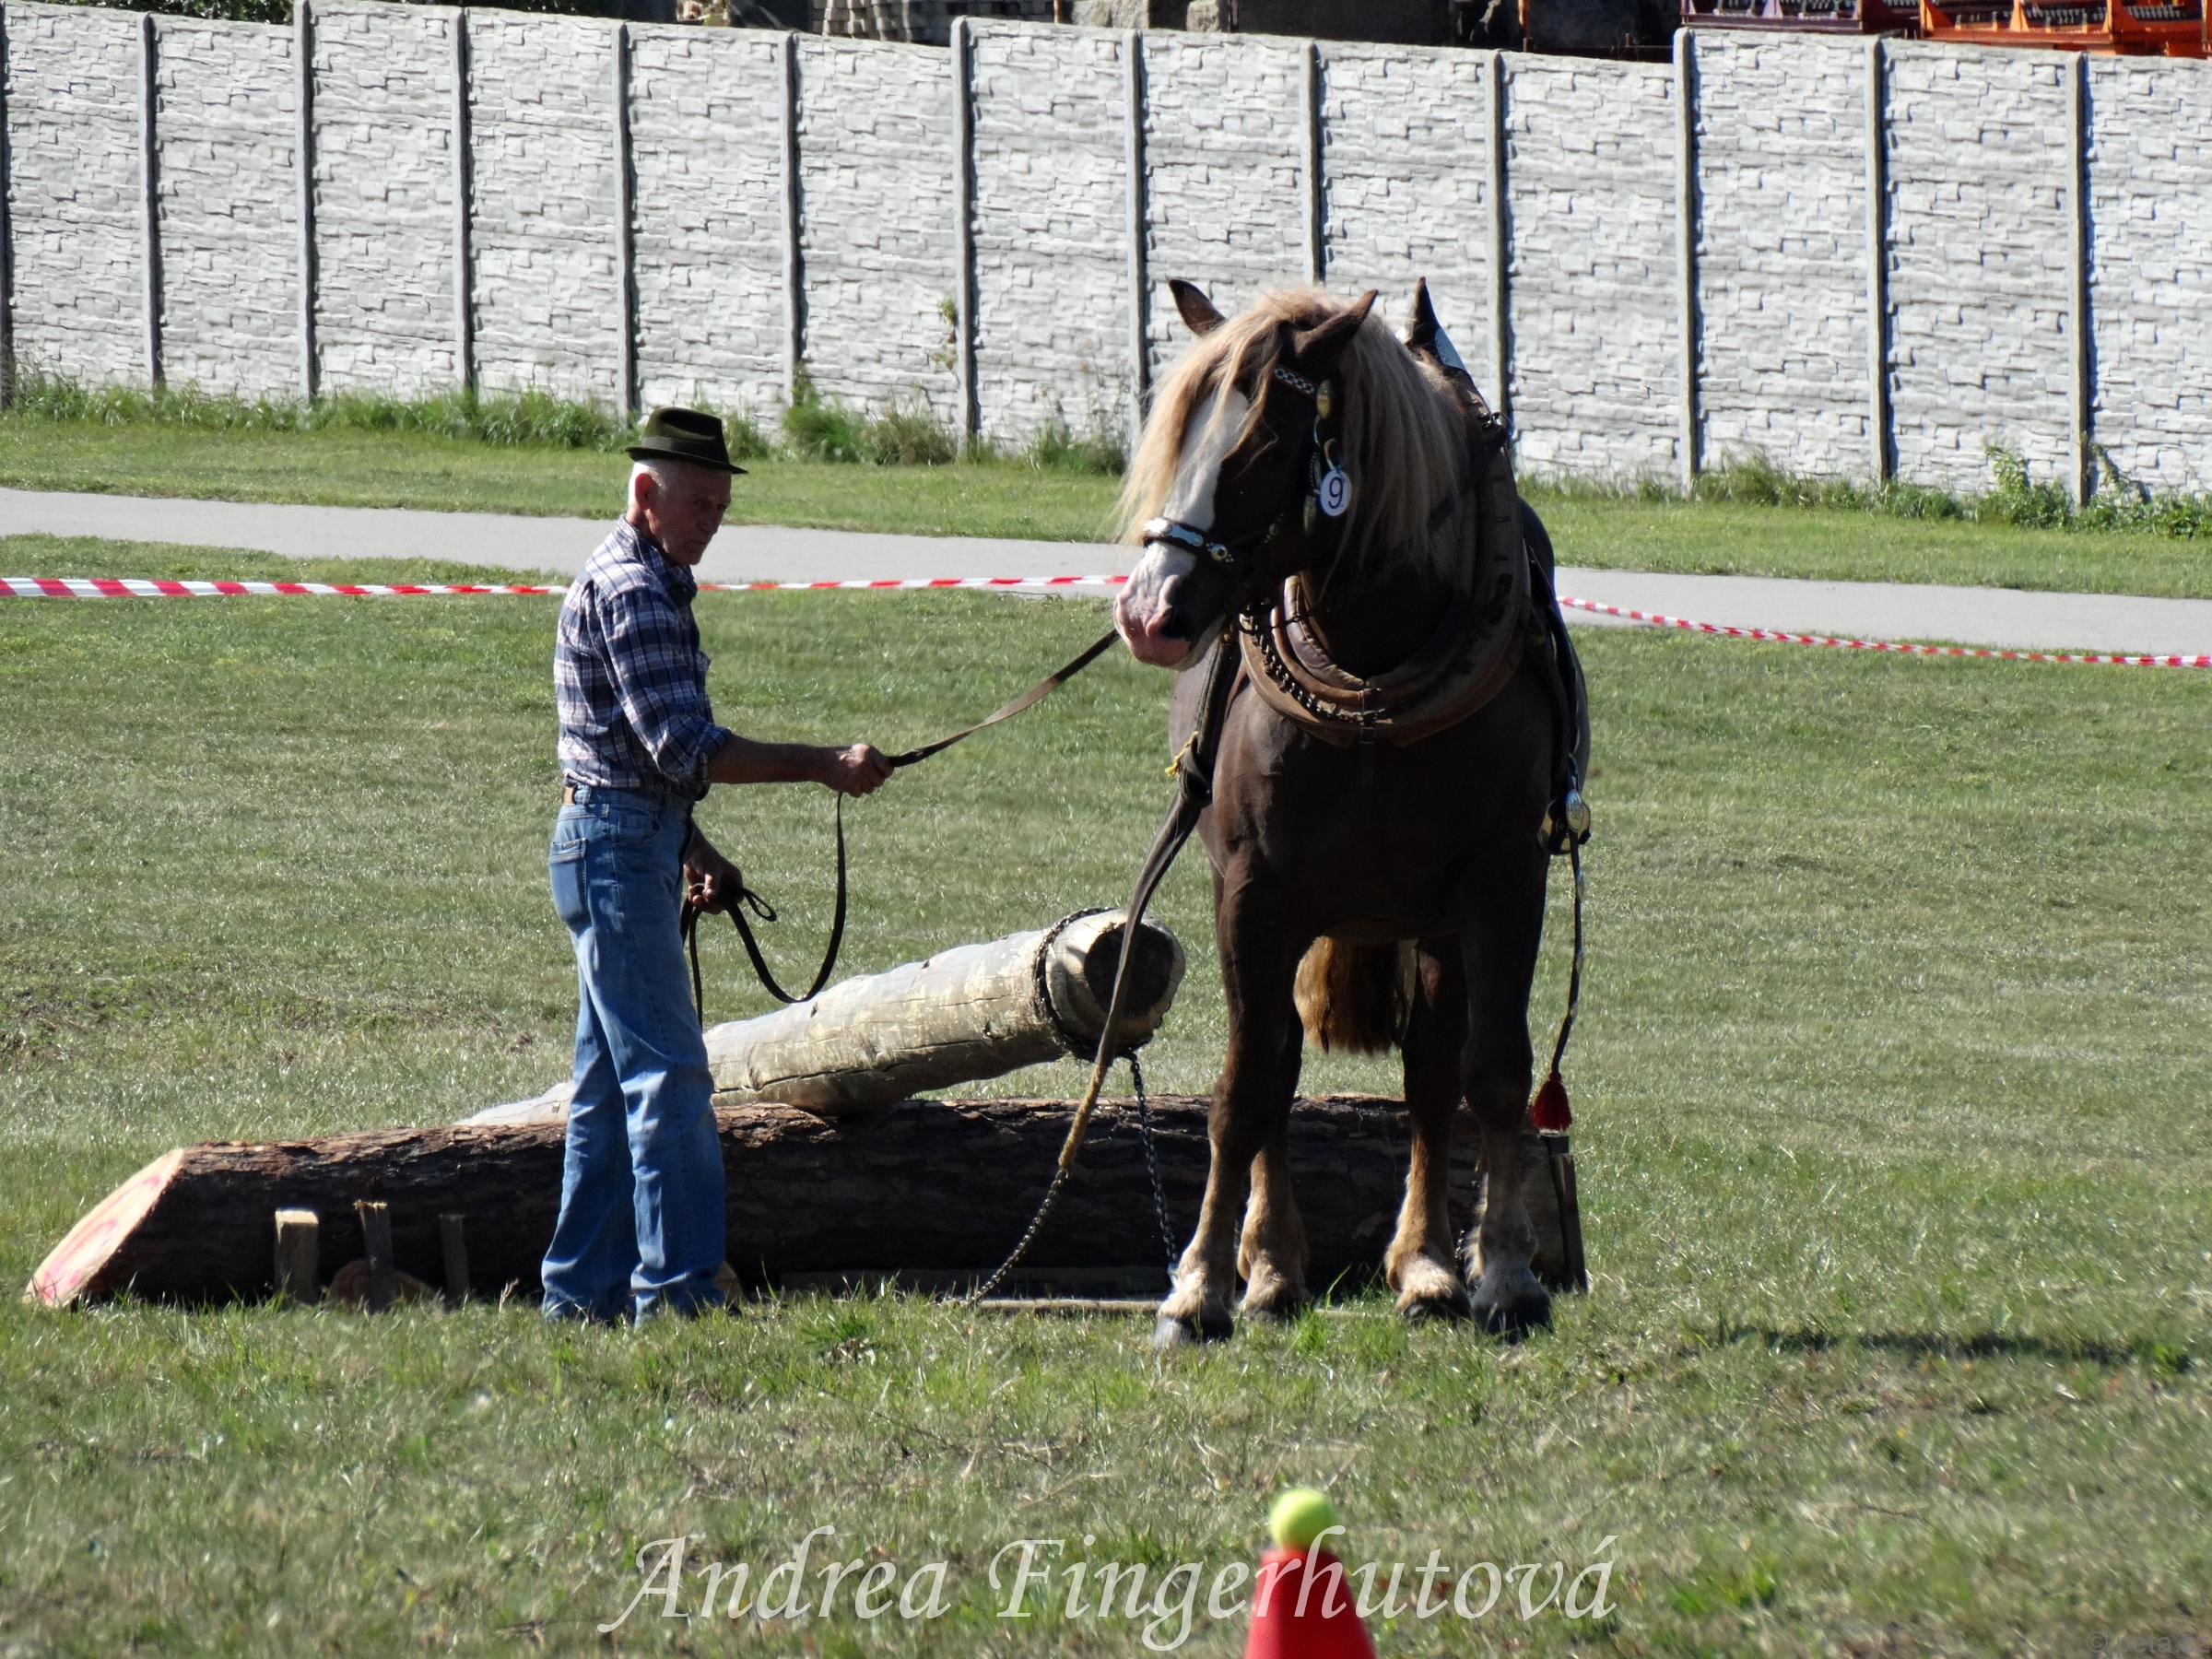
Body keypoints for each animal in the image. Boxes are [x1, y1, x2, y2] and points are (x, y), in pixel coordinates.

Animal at [1110, 278, 1586, 1347]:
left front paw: (1503, 1273)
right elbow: (1248, 1087)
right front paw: (1201, 1286)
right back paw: (1275, 1267)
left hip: (1432, 922)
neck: (1373, 669)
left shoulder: (1502, 880)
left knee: (1432, 1072)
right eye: (1178, 434)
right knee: (1283, 1066)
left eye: (1259, 446)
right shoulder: (1253, 893)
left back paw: (1426, 1265)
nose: (1148, 614)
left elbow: (1491, 1070)